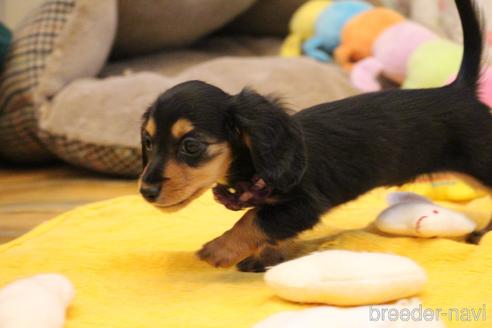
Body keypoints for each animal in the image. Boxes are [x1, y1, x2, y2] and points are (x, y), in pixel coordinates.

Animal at [139, 0, 492, 272]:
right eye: (148, 142)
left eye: (191, 145)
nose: (146, 192)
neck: (259, 161)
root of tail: (459, 90)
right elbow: (269, 224)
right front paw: (267, 257)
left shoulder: (305, 204)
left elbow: (253, 218)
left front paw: (220, 249)